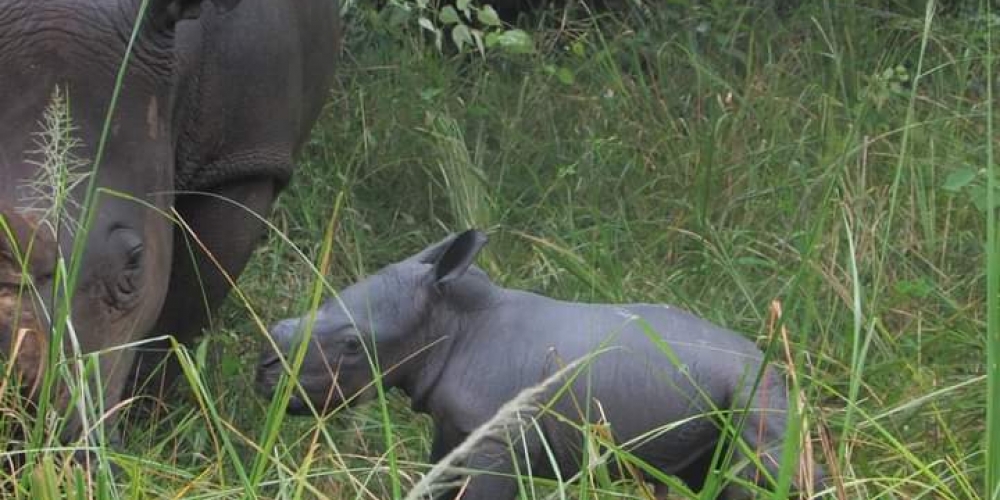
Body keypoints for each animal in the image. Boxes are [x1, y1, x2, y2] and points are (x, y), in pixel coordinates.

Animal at [256, 230, 820, 500]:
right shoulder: (458, 430)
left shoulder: (498, 445)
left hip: (753, 391)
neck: (448, 321)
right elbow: (437, 481)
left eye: (352, 346)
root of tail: (770, 361)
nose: (264, 373)